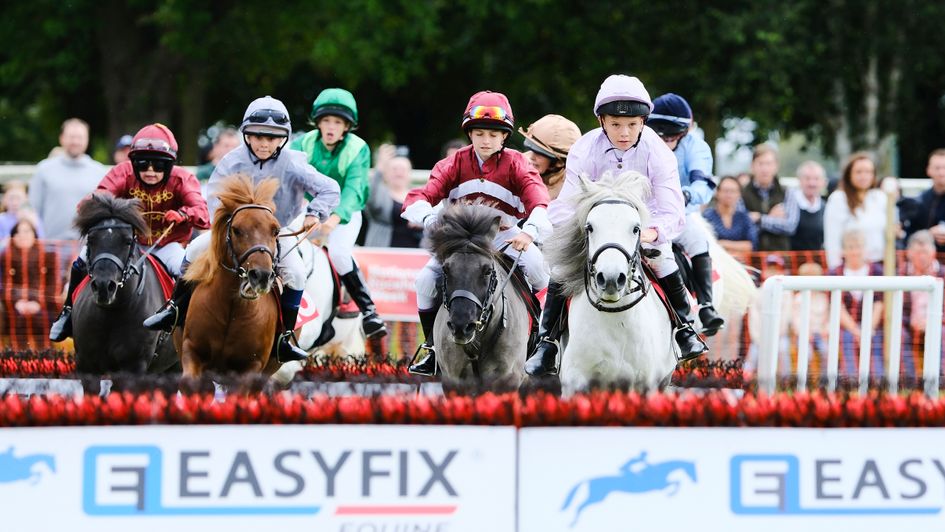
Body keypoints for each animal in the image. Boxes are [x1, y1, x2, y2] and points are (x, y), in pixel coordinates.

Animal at [175, 177, 282, 388]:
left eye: (275, 231)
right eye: (237, 230)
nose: (261, 276)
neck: (231, 308)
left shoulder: (251, 367)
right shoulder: (192, 350)